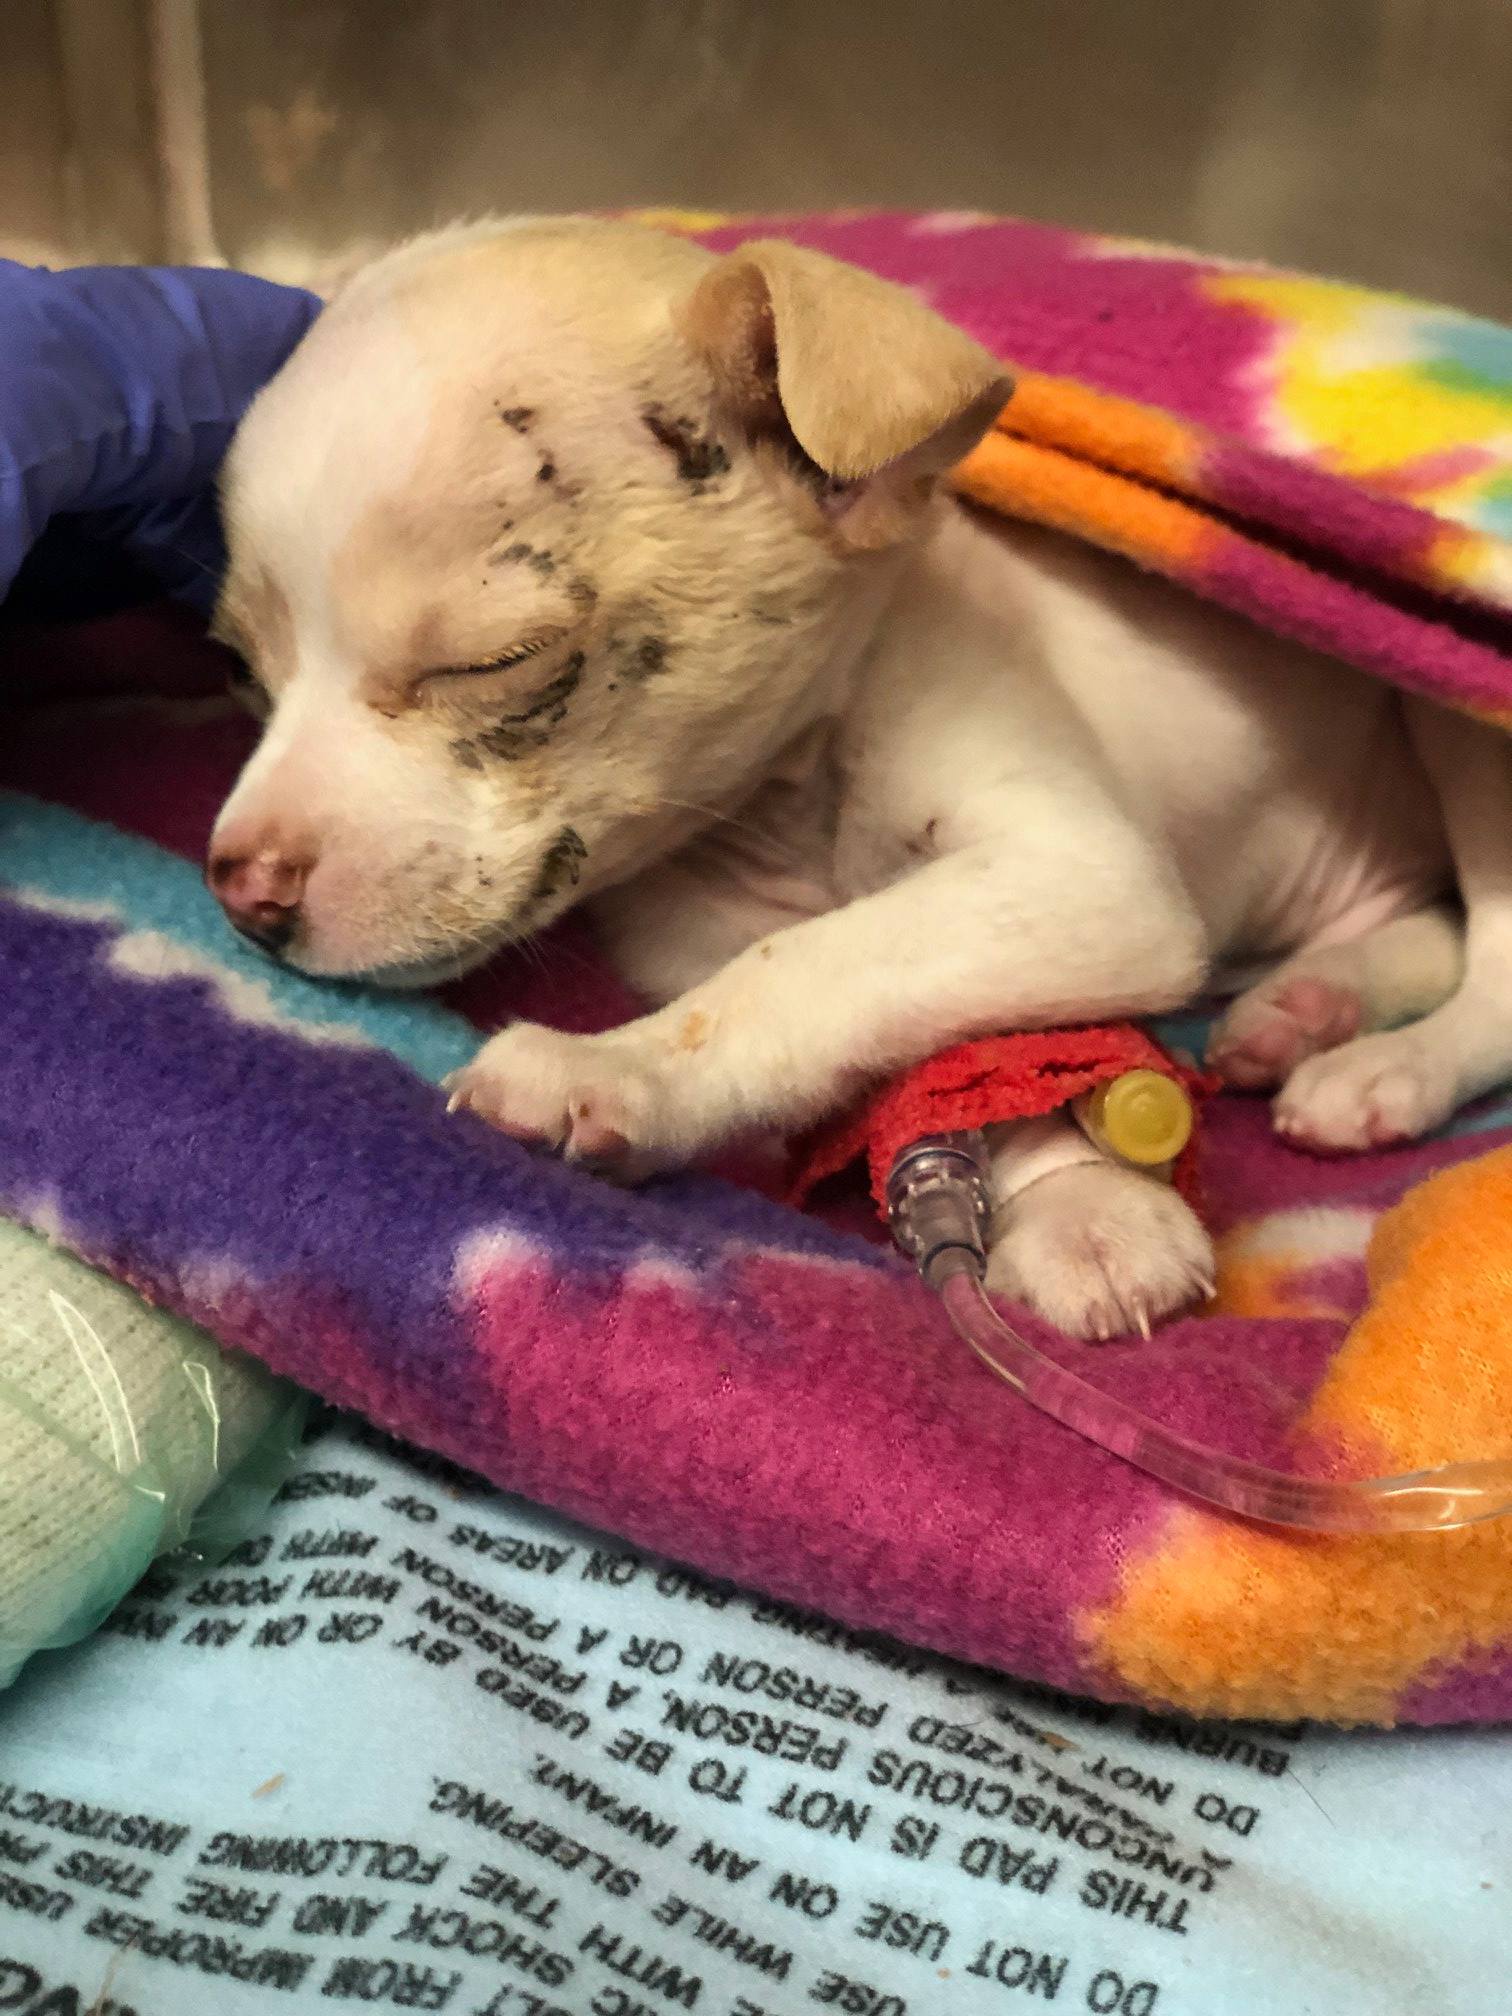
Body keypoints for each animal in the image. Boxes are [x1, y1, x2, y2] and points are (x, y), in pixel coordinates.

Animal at [207, 216, 1512, 1338]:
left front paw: (614, 1067)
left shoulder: (1075, 876)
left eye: (491, 662)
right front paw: (1078, 1198)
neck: (790, 802)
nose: (241, 890)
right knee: (1425, 925)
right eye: (242, 668)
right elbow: (879, 1011)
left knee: (1494, 957)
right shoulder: (708, 923)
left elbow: (813, 970)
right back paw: (1310, 1010)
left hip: (1463, 730)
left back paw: (1386, 1070)